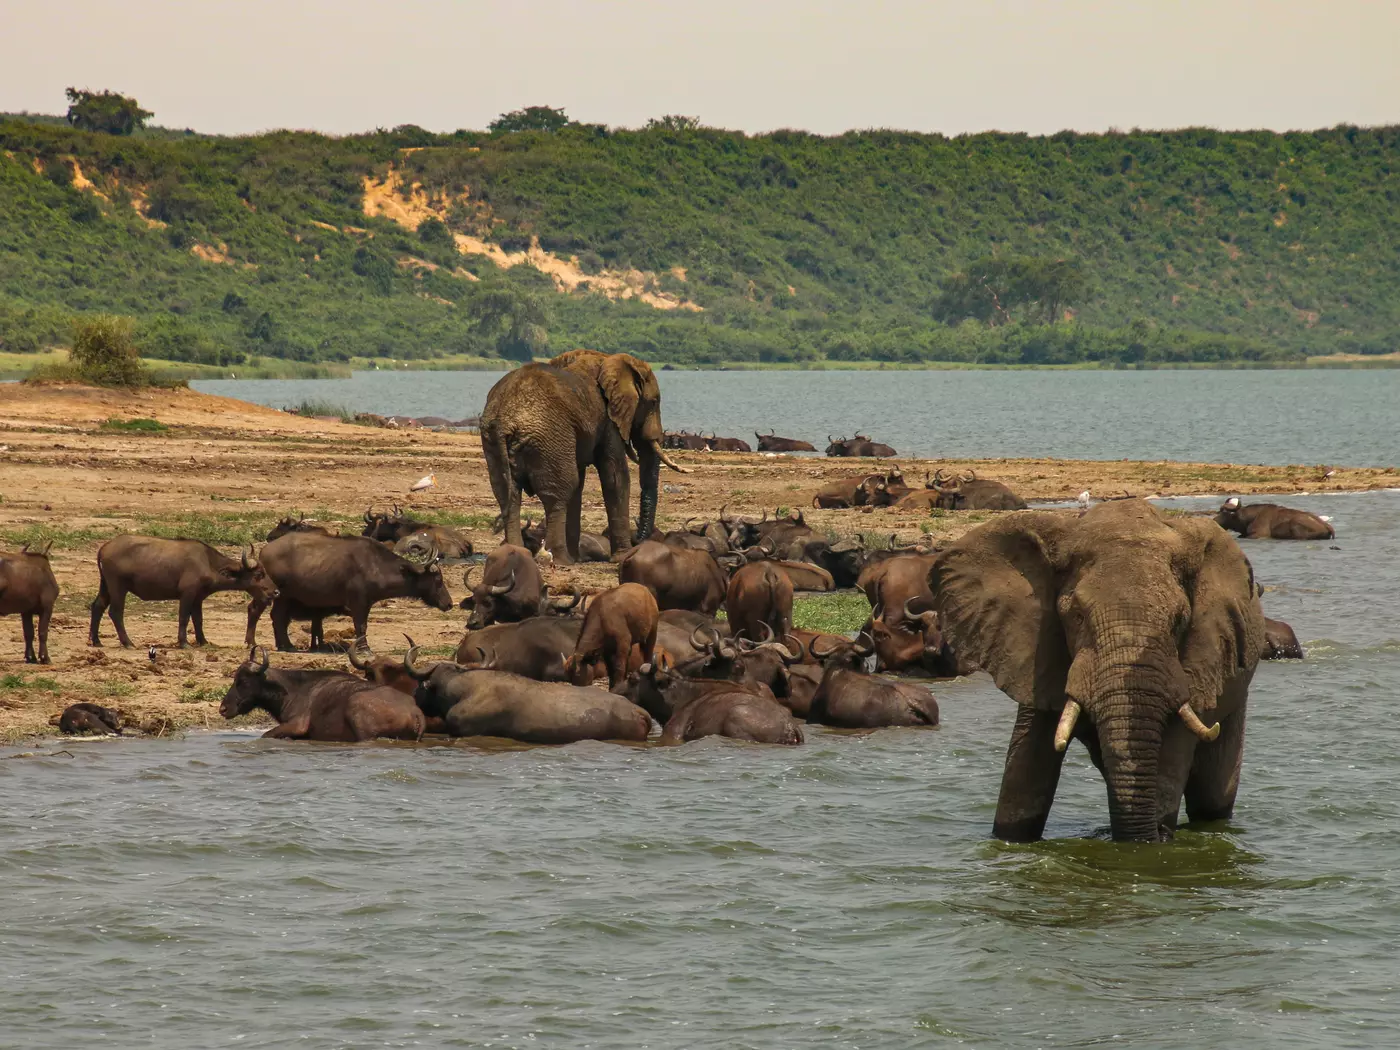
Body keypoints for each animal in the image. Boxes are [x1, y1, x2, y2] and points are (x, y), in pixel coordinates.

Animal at [479, 349, 689, 564]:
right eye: (653, 403)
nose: (638, 537)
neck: (610, 360)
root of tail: (506, 420)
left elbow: (582, 483)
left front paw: (579, 557)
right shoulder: (608, 419)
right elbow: (615, 477)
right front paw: (622, 556)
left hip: (494, 439)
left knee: (509, 495)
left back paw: (521, 552)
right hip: (547, 435)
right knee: (559, 492)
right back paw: (562, 559)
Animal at [929, 498, 1264, 843]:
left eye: (1180, 621)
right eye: (1076, 616)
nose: (1161, 834)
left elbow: (1172, 754)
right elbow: (1026, 767)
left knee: (1212, 796)